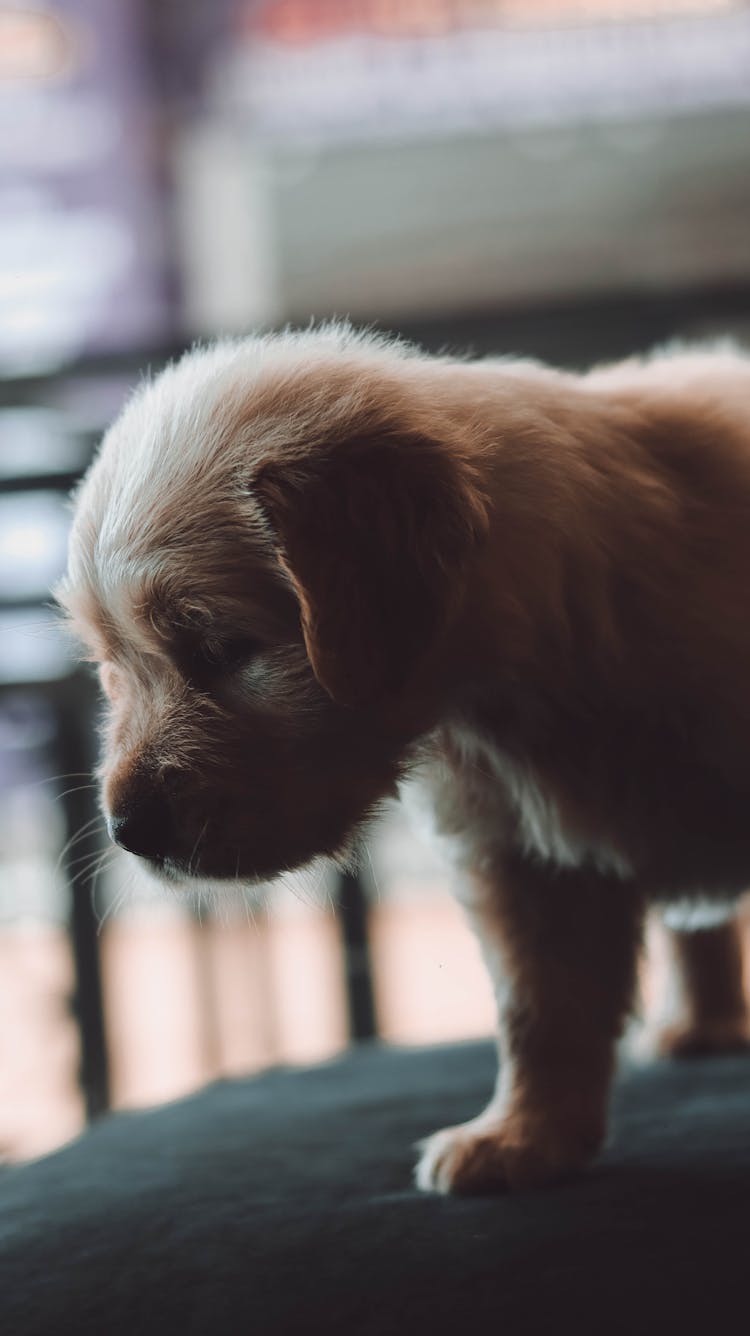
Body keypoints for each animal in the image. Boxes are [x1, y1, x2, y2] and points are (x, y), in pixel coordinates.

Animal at [58, 328, 748, 1197]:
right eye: (109, 668)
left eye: (219, 647)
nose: (128, 832)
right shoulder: (515, 856)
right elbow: (540, 1006)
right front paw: (525, 1139)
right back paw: (704, 1021)